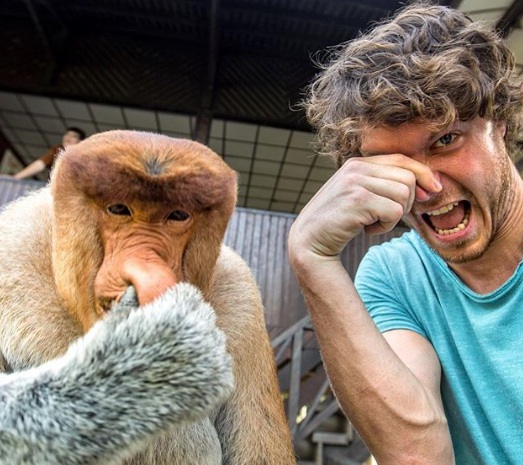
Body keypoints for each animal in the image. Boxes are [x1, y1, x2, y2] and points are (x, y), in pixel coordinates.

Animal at [0, 130, 296, 464]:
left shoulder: (241, 294)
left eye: (178, 215)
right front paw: (157, 351)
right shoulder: (13, 242)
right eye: (119, 209)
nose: (149, 274)